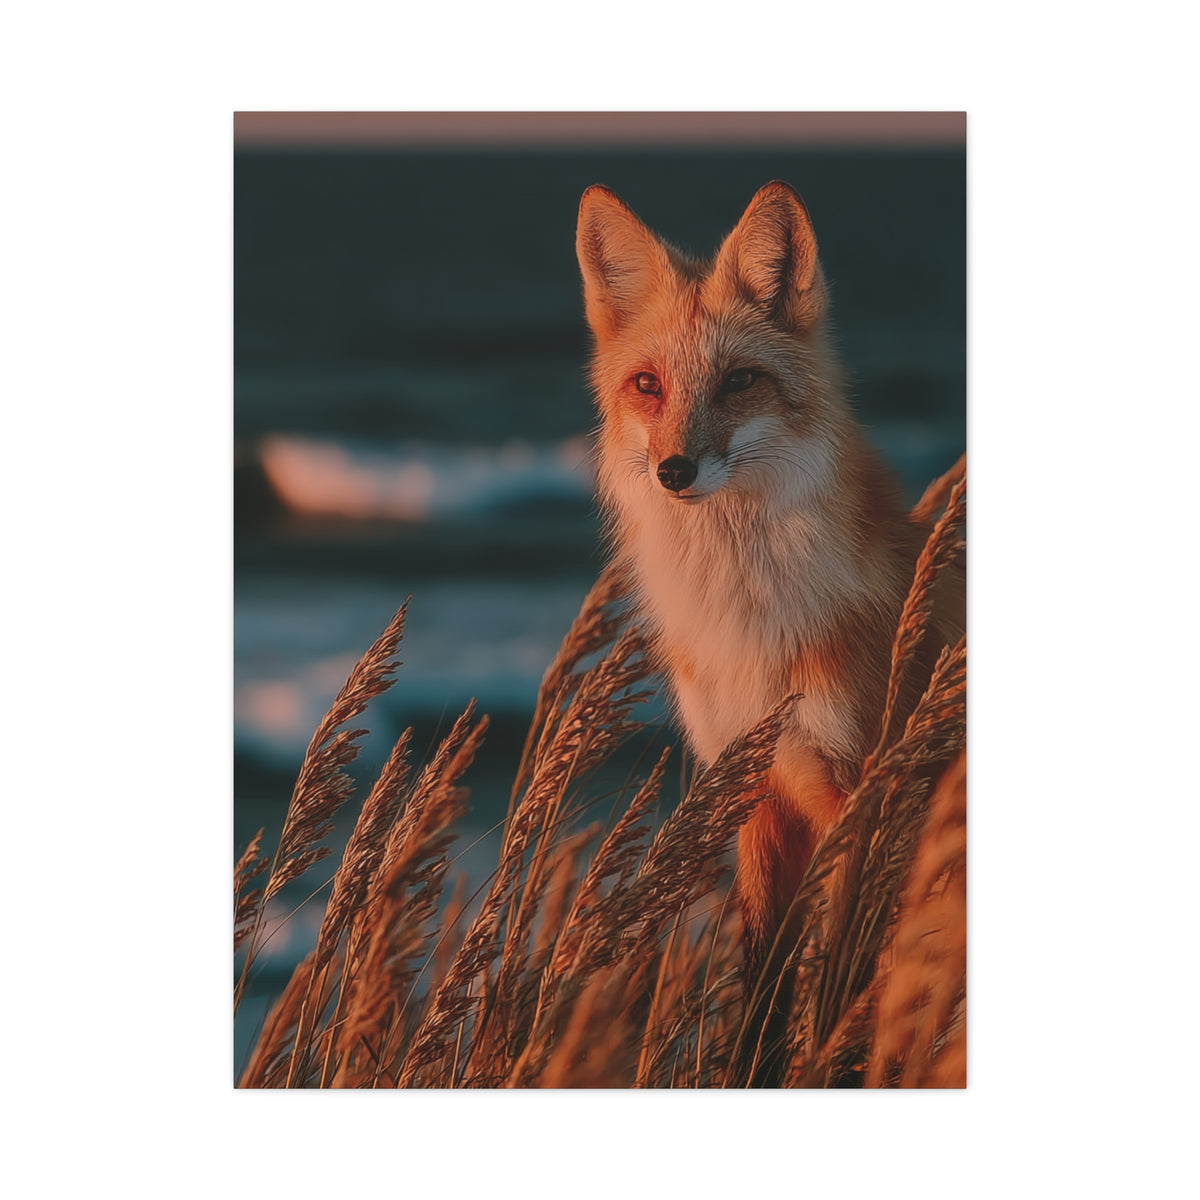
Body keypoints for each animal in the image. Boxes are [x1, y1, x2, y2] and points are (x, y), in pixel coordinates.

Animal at [575, 180, 964, 1080]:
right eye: (647, 385)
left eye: (739, 382)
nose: (674, 470)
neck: (753, 632)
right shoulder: (755, 789)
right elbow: (763, 995)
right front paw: (752, 1075)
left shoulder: (865, 797)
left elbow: (843, 991)